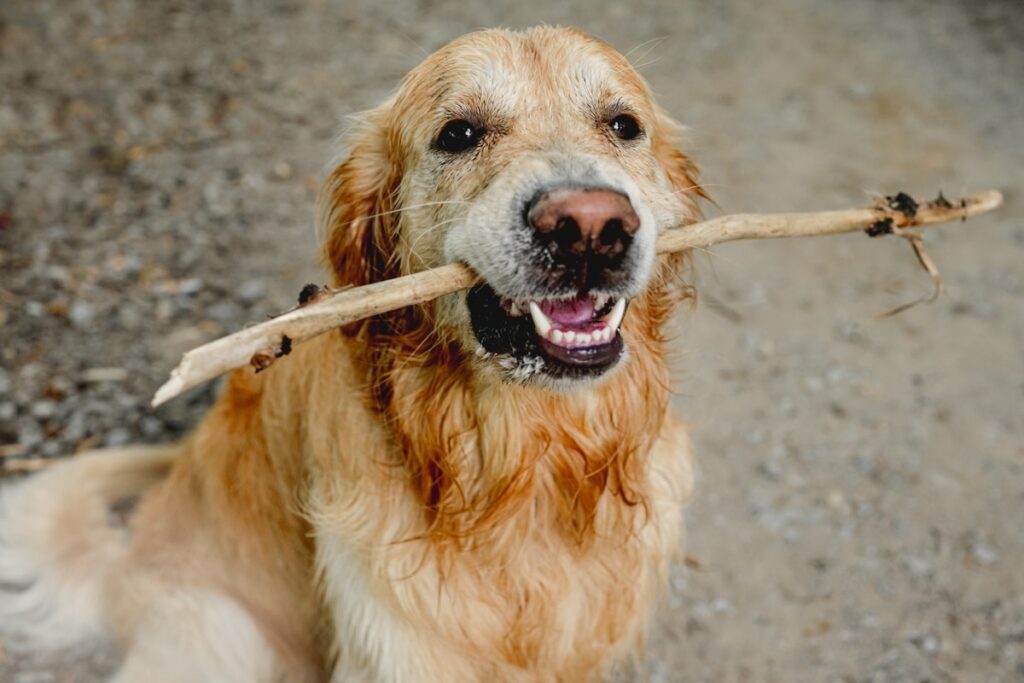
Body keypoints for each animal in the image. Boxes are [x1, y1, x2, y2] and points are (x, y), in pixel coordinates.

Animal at [0, 26, 704, 683]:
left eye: (623, 125)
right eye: (458, 133)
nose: (590, 226)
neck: (528, 464)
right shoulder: (397, 643)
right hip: (229, 632)